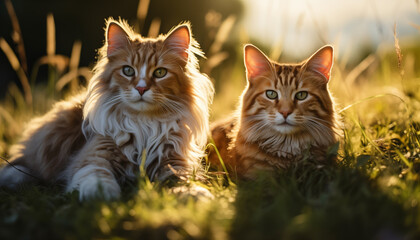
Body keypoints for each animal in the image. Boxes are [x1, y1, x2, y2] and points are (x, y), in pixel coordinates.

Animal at [0, 18, 213, 199]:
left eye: (160, 73)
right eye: (128, 71)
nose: (141, 88)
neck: (144, 124)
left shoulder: (173, 160)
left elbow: (183, 180)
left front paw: (195, 194)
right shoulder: (95, 155)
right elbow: (97, 176)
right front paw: (102, 196)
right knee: (23, 163)